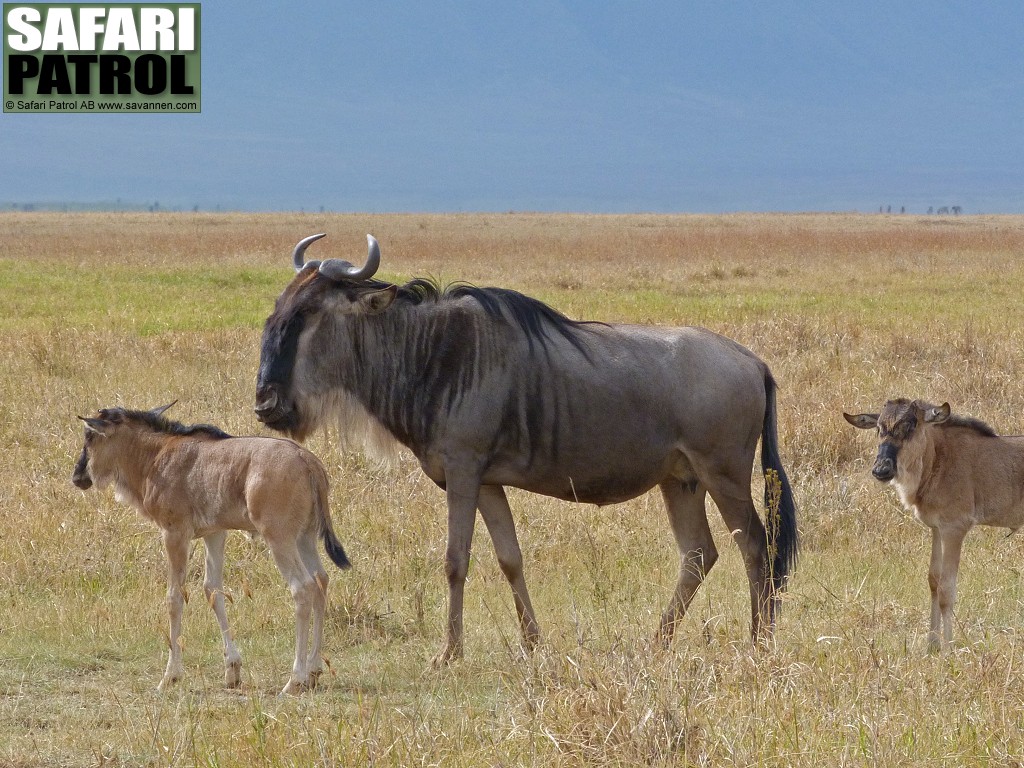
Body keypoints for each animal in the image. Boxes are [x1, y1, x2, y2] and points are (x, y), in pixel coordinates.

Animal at [71, 405, 352, 696]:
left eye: (89, 437)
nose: (78, 476)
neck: (156, 455)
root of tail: (306, 460)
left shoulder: (175, 533)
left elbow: (174, 597)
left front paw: (170, 676)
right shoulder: (215, 533)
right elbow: (213, 590)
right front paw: (232, 670)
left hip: (279, 538)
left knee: (302, 588)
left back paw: (295, 679)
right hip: (304, 538)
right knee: (320, 581)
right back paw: (314, 671)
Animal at [843, 399, 1019, 651]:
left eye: (911, 425)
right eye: (878, 428)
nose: (881, 470)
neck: (938, 459)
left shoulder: (955, 529)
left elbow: (947, 590)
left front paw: (948, 649)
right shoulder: (936, 529)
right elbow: (934, 582)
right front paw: (932, 646)